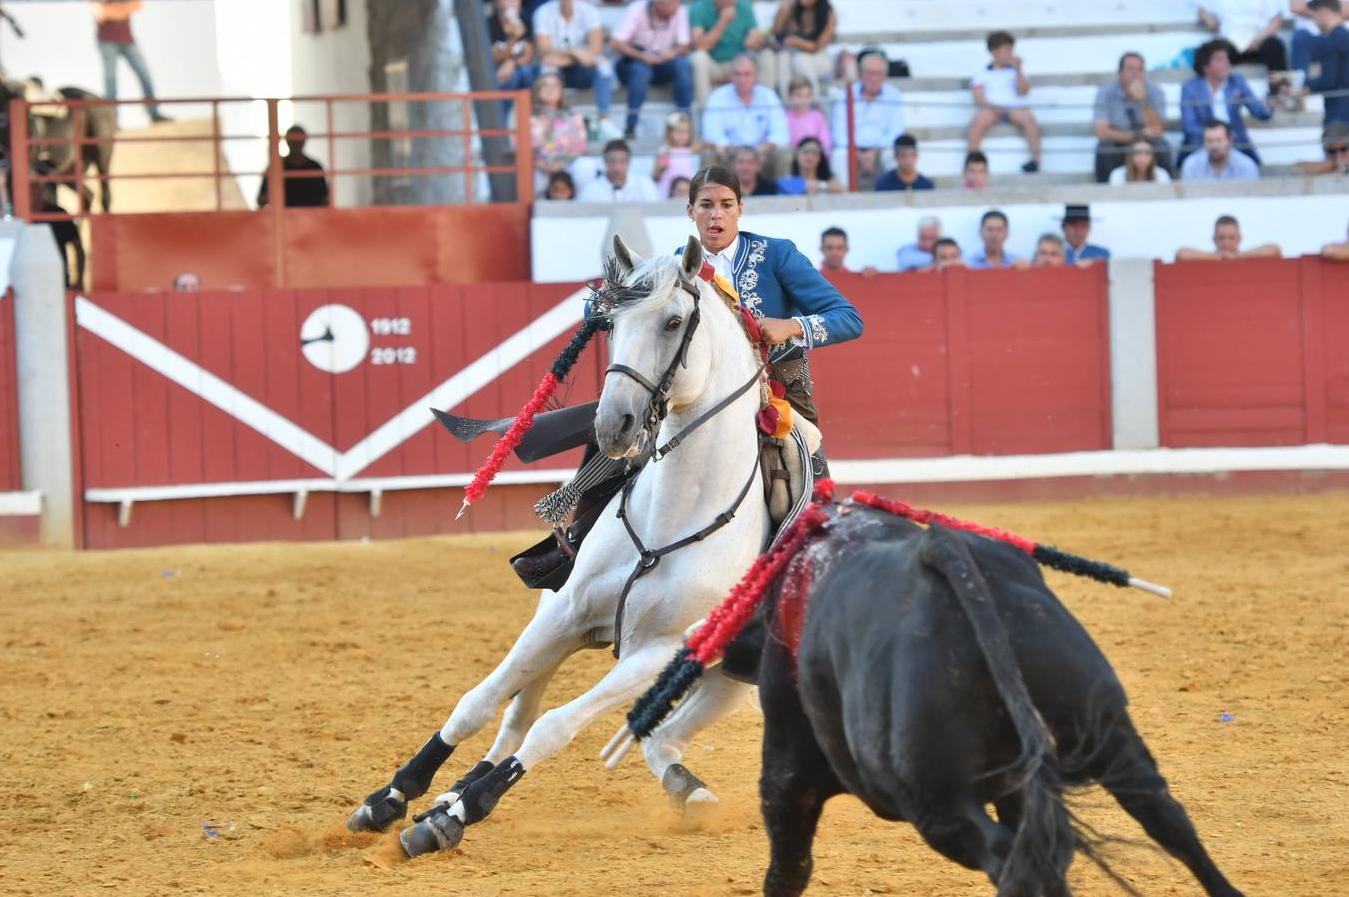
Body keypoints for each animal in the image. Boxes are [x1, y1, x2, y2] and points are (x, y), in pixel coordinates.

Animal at [348, 234, 771, 857]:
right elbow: (478, 703)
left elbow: (556, 727)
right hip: (559, 617)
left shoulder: (660, 651)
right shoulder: (566, 611)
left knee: (656, 740)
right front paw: (392, 797)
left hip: (732, 676)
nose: (614, 423)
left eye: (673, 322)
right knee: (520, 711)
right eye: (610, 324)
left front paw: (453, 817)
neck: (672, 519)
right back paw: (452, 791)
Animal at [760, 515, 1241, 895]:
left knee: (1009, 860)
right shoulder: (1020, 781)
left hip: (937, 802)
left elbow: (788, 868)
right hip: (1106, 728)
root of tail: (943, 551)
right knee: (1163, 816)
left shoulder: (789, 775)